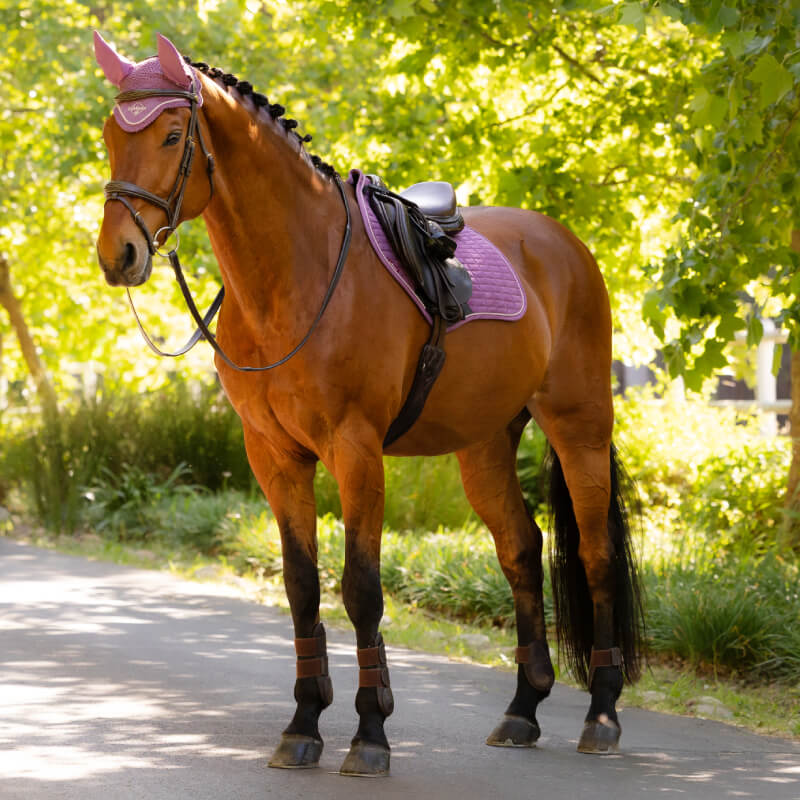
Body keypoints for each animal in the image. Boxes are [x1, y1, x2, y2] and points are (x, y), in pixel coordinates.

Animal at [93, 32, 643, 777]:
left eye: (173, 134)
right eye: (108, 135)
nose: (117, 254)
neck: (295, 276)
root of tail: (566, 246)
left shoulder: (355, 451)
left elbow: (361, 587)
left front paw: (370, 733)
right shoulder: (274, 454)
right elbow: (302, 585)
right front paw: (303, 724)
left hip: (579, 427)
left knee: (595, 555)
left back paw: (603, 715)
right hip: (485, 444)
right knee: (521, 550)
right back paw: (523, 709)